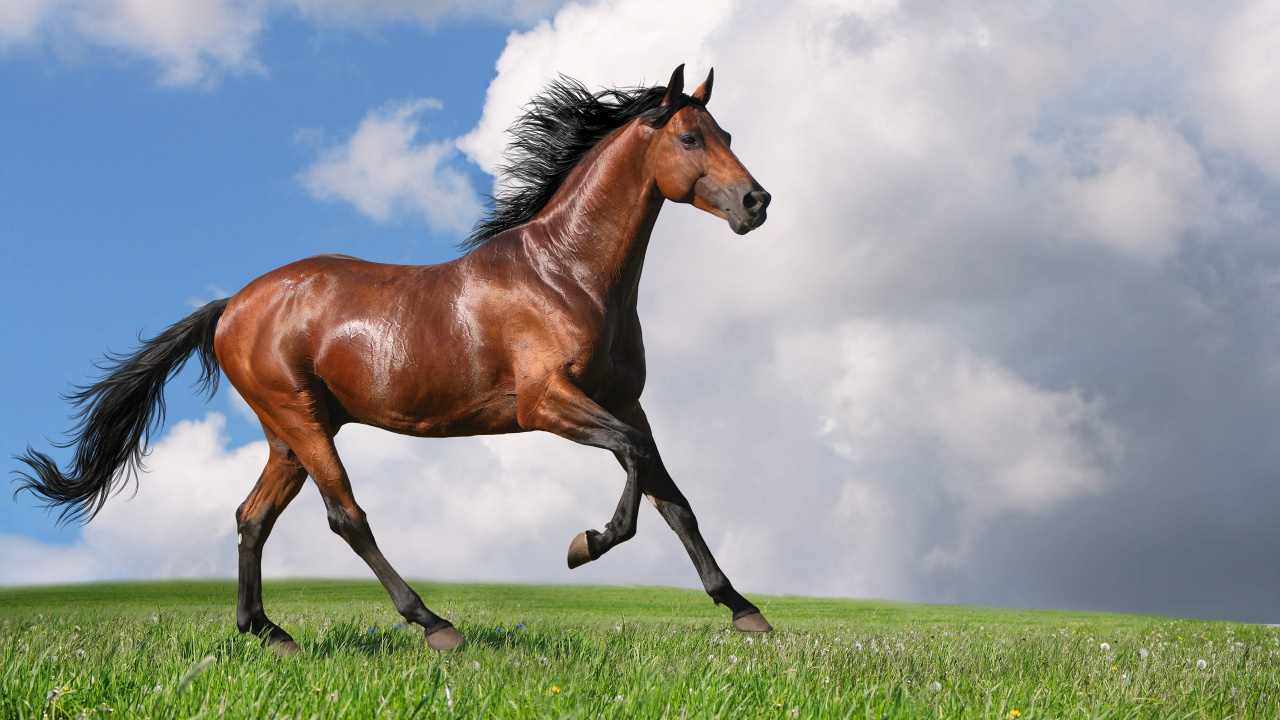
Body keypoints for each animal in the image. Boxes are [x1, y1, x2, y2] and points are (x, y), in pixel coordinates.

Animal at [15, 64, 772, 653]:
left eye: (728, 135)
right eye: (689, 136)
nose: (756, 201)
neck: (568, 273)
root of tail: (232, 305)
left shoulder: (623, 401)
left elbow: (673, 497)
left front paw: (743, 610)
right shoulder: (547, 402)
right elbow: (638, 470)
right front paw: (585, 543)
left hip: (290, 432)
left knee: (252, 517)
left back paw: (270, 633)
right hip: (301, 420)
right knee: (345, 516)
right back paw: (434, 624)